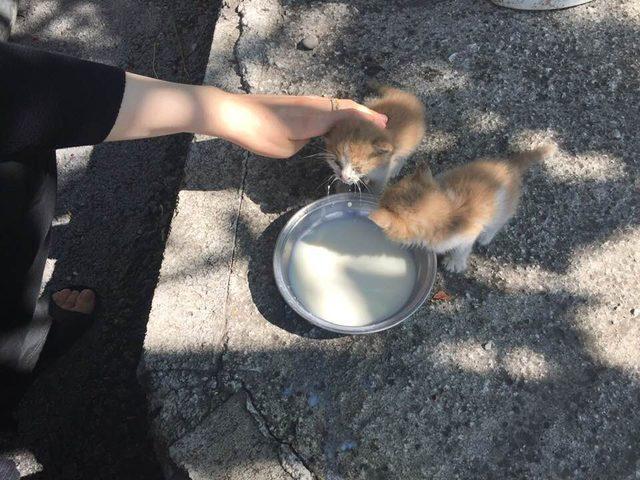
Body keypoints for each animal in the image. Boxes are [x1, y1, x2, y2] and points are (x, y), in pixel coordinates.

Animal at [368, 142, 556, 272]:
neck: (448, 211)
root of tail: (509, 166)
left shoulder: (468, 233)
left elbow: (461, 250)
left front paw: (454, 263)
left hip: (501, 209)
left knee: (498, 223)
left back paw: (486, 237)